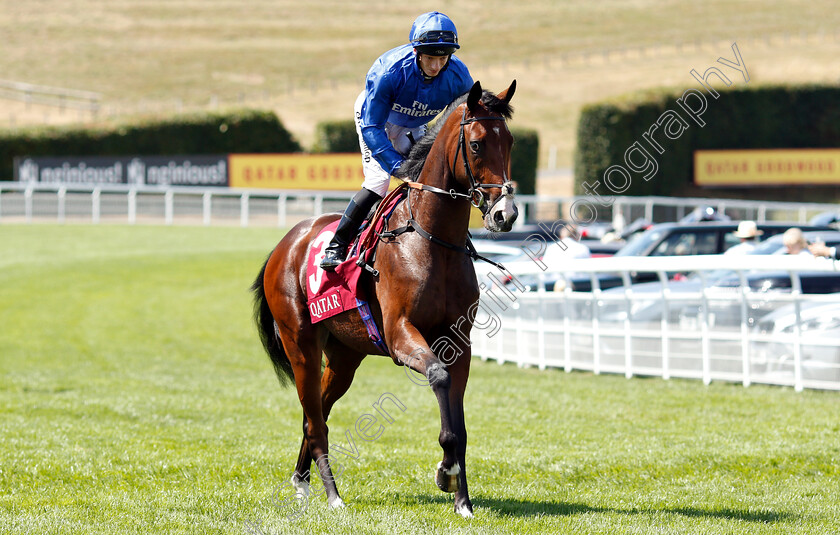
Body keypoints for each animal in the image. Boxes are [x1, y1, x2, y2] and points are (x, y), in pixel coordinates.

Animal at [253, 80, 520, 520]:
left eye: (511, 141)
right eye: (477, 144)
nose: (505, 214)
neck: (431, 238)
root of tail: (284, 244)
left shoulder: (458, 342)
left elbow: (460, 423)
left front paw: (462, 499)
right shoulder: (400, 335)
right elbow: (438, 378)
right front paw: (446, 472)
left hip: (345, 356)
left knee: (316, 411)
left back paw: (301, 482)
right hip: (301, 345)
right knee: (315, 421)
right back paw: (332, 495)